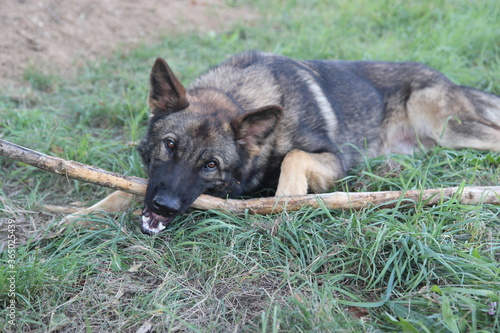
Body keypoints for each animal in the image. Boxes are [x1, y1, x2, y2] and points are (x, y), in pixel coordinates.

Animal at [76, 52, 500, 233]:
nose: (163, 206)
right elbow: (122, 189)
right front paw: (74, 218)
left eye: (211, 164)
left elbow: (295, 157)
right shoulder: (153, 179)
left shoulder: (332, 160)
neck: (237, 95)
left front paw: (285, 202)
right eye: (169, 145)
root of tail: (446, 79)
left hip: (448, 127)